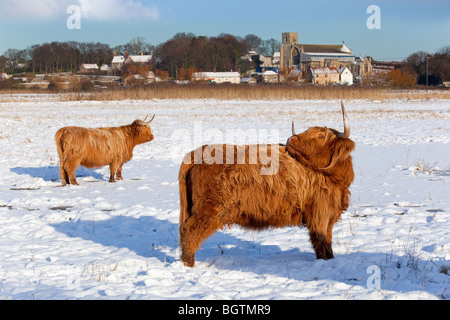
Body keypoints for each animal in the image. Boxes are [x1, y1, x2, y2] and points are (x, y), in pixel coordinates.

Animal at [178, 103, 356, 268]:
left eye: (320, 135)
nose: (291, 139)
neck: (334, 178)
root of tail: (197, 152)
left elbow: (328, 241)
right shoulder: (320, 213)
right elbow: (321, 242)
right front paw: (325, 262)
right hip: (210, 209)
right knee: (190, 233)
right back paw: (188, 265)